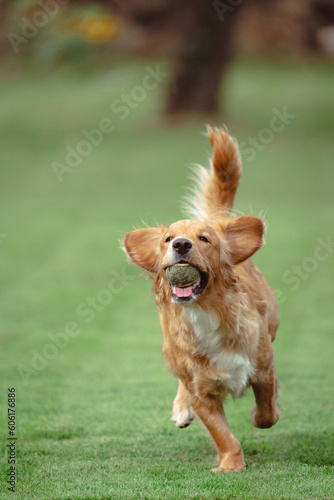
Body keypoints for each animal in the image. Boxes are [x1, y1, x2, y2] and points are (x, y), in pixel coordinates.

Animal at [122, 127, 280, 470]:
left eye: (204, 239)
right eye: (167, 239)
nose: (180, 244)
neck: (204, 314)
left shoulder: (263, 366)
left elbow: (266, 413)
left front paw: (261, 413)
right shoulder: (200, 390)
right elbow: (222, 433)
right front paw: (231, 464)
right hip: (170, 350)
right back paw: (181, 409)